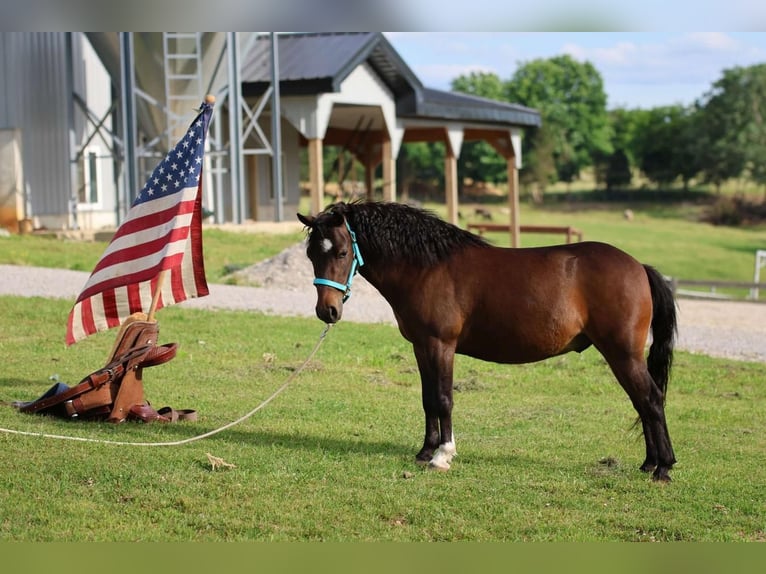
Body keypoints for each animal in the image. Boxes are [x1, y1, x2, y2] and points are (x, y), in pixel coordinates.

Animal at [296, 201, 680, 482]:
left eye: (342, 252)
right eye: (312, 254)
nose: (327, 311)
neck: (427, 267)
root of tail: (638, 267)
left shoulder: (441, 345)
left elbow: (444, 399)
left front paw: (443, 455)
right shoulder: (421, 346)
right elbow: (427, 400)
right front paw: (425, 451)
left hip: (623, 354)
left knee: (651, 399)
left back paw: (662, 467)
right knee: (642, 402)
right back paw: (649, 463)